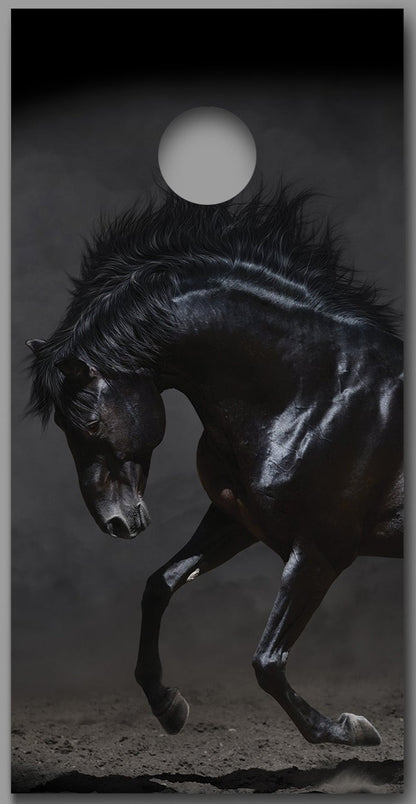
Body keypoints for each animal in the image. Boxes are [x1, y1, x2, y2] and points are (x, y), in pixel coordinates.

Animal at [26, 188, 403, 747]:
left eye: (89, 421)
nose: (115, 522)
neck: (314, 390)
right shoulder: (237, 520)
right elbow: (160, 585)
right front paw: (168, 706)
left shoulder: (321, 549)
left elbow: (267, 661)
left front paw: (348, 729)